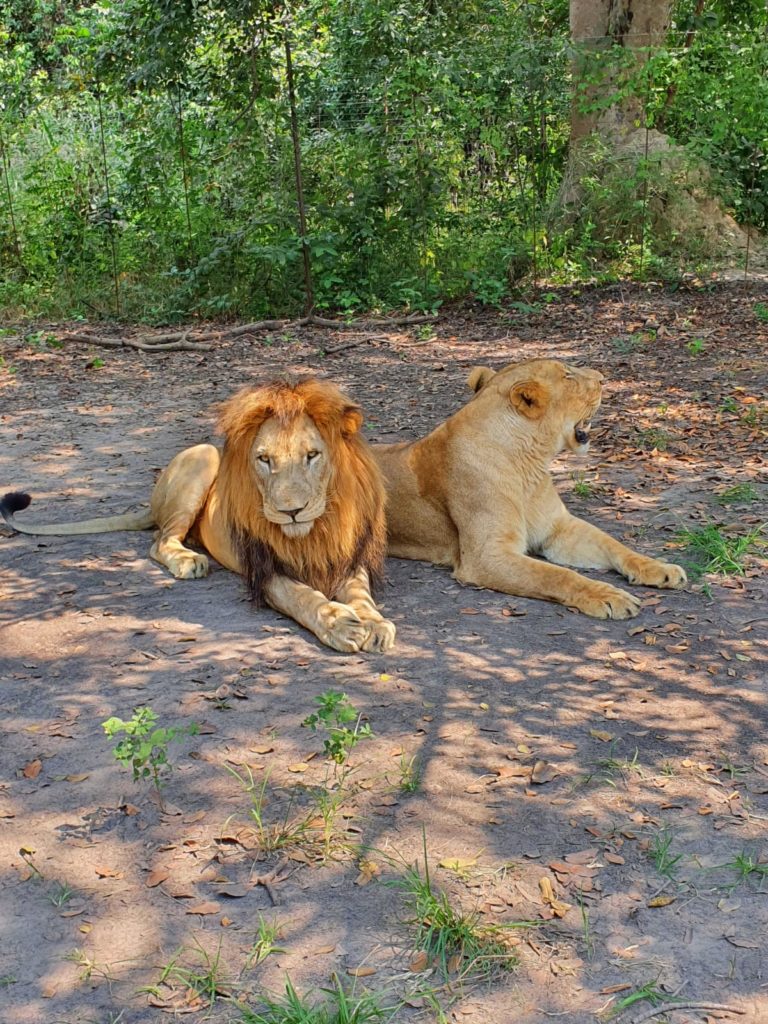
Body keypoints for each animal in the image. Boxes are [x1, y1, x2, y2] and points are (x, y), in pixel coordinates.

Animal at [6, 380, 399, 651]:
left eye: (312, 455)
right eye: (264, 459)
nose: (292, 511)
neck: (313, 532)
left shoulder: (349, 556)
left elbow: (361, 592)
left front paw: (374, 622)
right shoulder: (264, 570)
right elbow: (302, 597)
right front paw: (339, 624)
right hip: (204, 457)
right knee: (160, 540)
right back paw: (188, 560)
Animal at [376, 356, 688, 618]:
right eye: (567, 375)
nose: (602, 378)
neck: (529, 465)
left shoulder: (559, 528)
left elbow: (614, 544)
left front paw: (660, 568)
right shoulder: (486, 556)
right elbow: (557, 575)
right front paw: (609, 596)